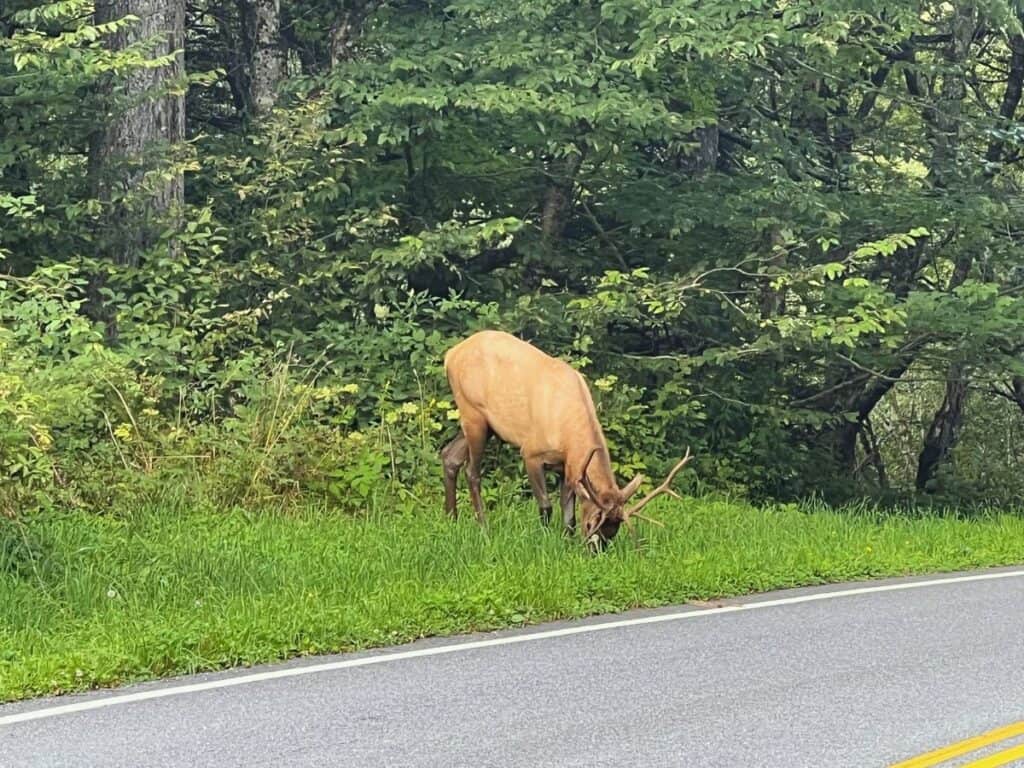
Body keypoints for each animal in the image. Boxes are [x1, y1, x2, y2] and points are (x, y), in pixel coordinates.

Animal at [440, 330, 692, 548]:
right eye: (591, 525)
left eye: (613, 532)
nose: (596, 552)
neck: (566, 433)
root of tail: (450, 355)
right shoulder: (530, 452)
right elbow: (546, 505)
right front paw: (544, 539)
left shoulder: (568, 467)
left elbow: (568, 513)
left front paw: (565, 541)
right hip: (473, 413)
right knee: (471, 471)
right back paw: (483, 527)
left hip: (483, 424)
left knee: (449, 456)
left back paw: (451, 519)